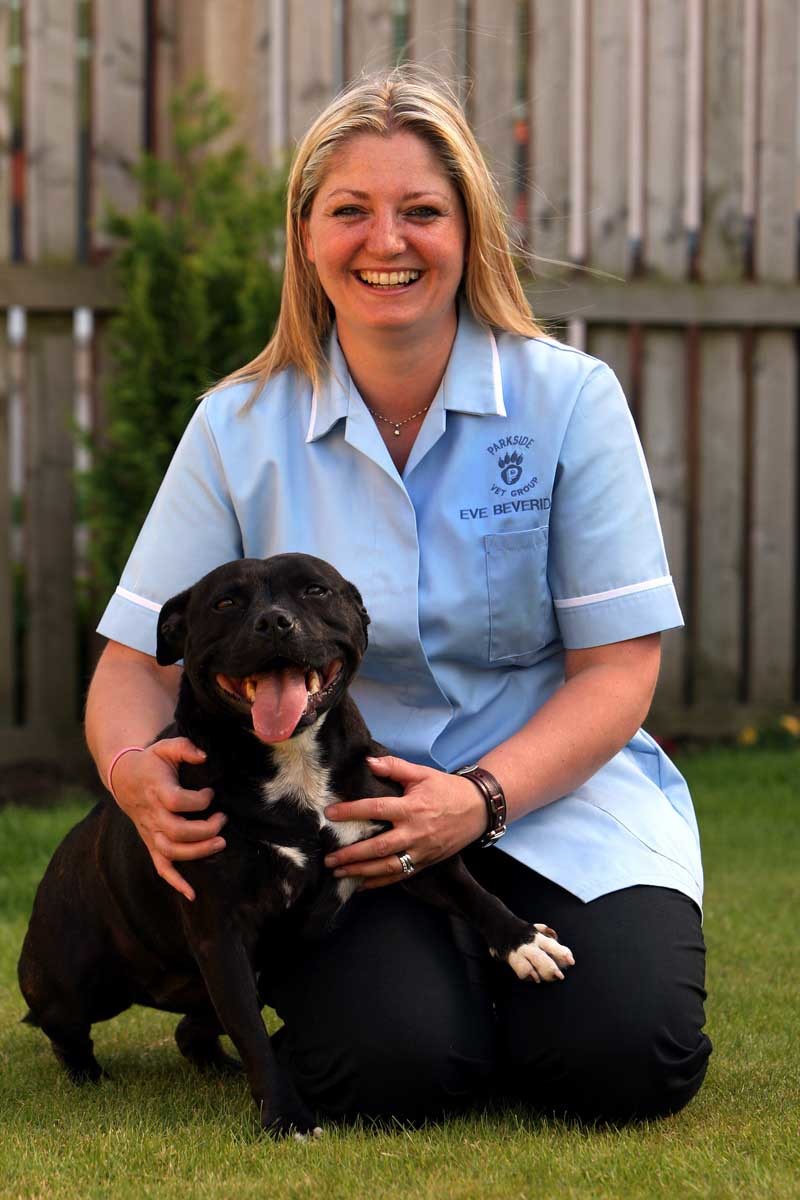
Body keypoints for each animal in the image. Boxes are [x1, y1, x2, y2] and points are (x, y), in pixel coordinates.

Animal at [17, 552, 568, 1132]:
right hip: (73, 984)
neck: (294, 765)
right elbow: (256, 1038)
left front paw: (525, 943)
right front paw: (286, 1118)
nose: (274, 622)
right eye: (226, 602)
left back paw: (216, 1067)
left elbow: (472, 891)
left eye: (314, 590)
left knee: (191, 1030)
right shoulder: (221, 934)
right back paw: (88, 1076)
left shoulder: (409, 841)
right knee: (65, 1029)